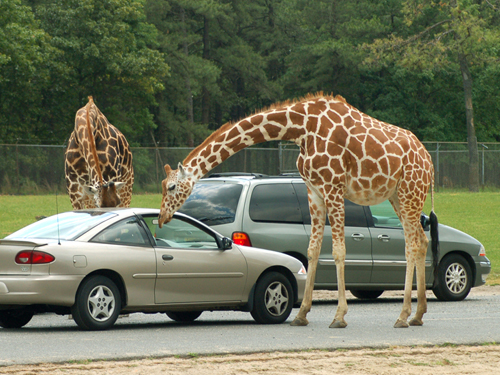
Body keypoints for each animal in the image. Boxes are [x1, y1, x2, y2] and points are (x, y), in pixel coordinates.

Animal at [157, 93, 438, 328]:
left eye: (171, 186)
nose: (161, 218)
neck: (301, 128)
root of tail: (429, 160)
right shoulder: (314, 190)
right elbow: (312, 250)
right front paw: (301, 314)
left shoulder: (333, 187)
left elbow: (338, 251)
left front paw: (339, 316)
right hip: (397, 196)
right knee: (421, 241)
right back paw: (417, 314)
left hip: (410, 191)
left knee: (412, 244)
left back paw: (402, 316)